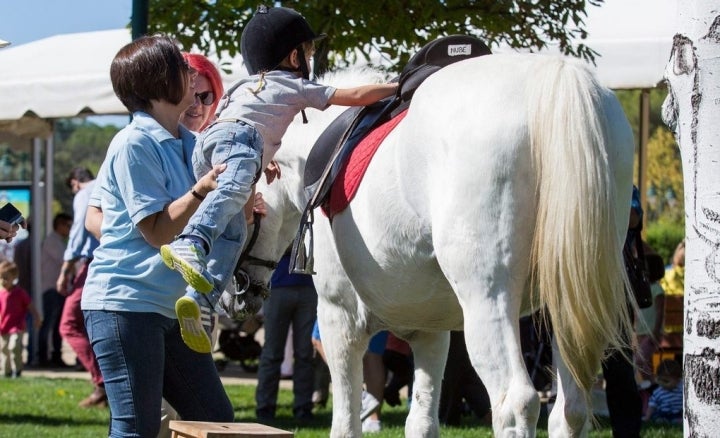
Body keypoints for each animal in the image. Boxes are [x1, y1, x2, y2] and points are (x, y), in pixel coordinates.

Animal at [239, 53, 632, 436]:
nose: (239, 290)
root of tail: (553, 75)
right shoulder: (430, 330)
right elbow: (422, 421)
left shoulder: (339, 317)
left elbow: (346, 424)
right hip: (569, 305)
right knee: (571, 410)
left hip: (488, 301)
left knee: (515, 403)